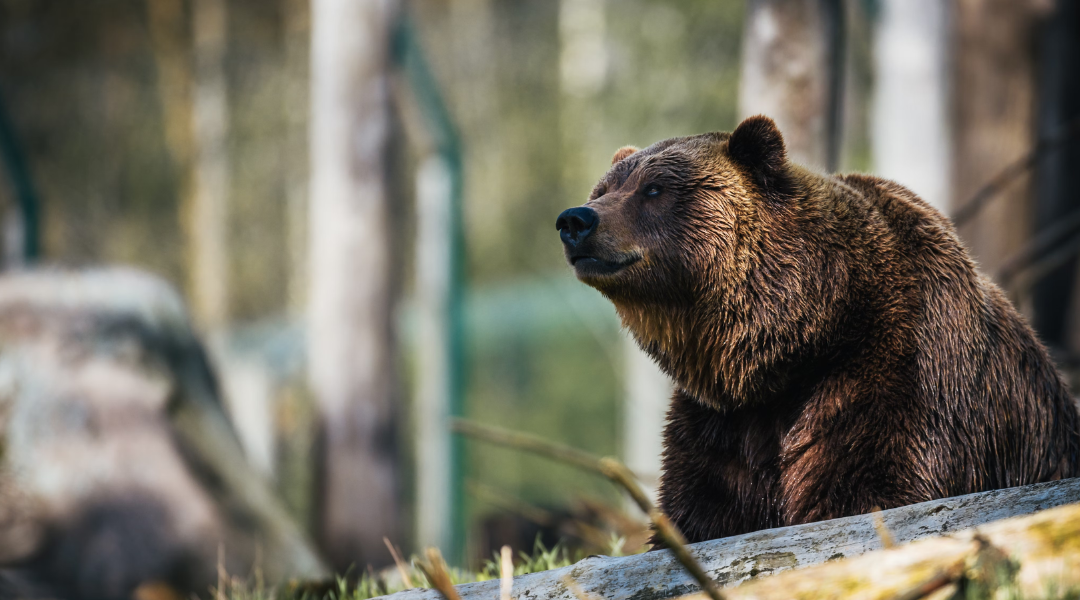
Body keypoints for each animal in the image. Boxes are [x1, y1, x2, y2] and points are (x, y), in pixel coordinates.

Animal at [557, 114, 1080, 541]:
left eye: (654, 189)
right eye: (603, 190)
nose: (575, 219)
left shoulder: (896, 372)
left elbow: (870, 488)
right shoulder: (722, 424)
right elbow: (702, 511)